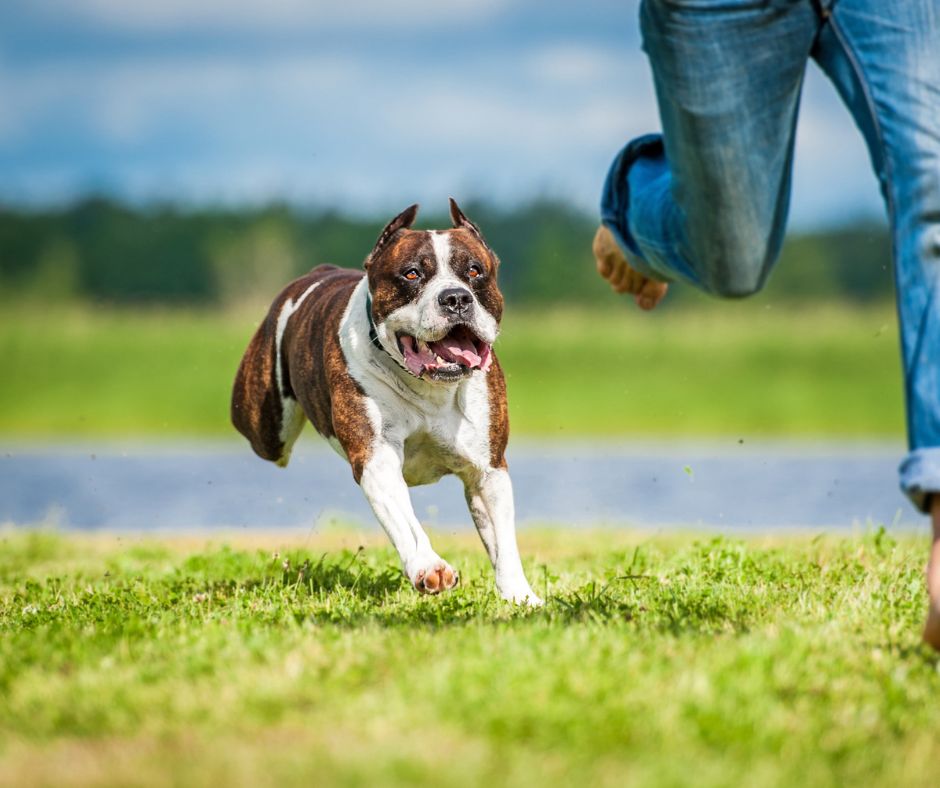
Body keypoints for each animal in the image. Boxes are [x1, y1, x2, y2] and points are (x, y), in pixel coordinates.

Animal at [233, 199, 544, 604]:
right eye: (411, 274)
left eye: (475, 271)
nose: (456, 298)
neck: (430, 388)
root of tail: (319, 271)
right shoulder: (377, 458)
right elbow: (407, 524)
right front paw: (430, 567)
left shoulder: (488, 469)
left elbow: (504, 541)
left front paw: (520, 596)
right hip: (267, 430)